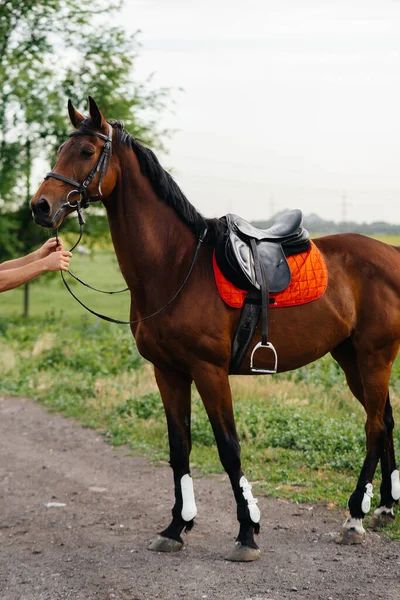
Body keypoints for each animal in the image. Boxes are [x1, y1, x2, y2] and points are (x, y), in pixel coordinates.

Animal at [30, 96, 400, 560]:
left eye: (85, 151)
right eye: (62, 148)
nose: (40, 206)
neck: (175, 267)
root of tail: (391, 255)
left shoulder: (209, 371)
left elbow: (228, 447)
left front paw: (247, 531)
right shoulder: (168, 372)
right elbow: (179, 446)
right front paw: (176, 526)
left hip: (374, 357)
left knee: (373, 426)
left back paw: (354, 517)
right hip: (351, 358)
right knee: (385, 420)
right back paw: (384, 507)